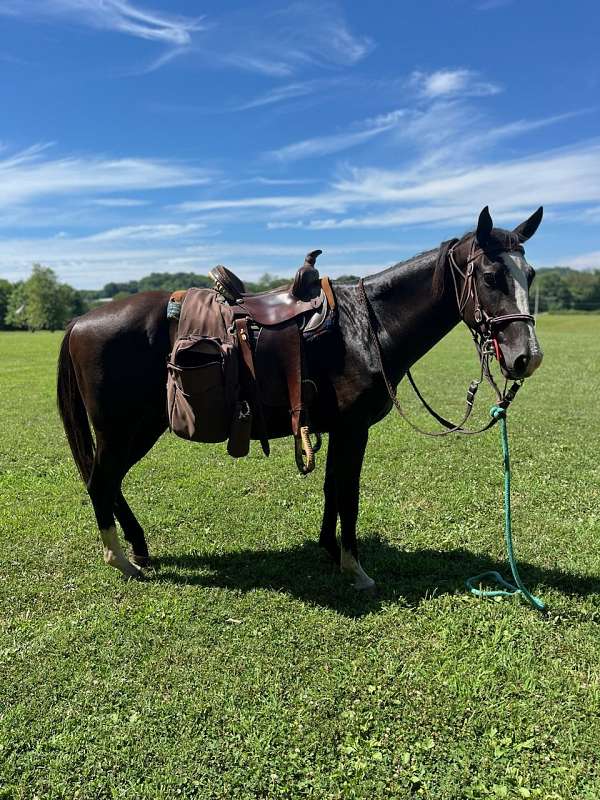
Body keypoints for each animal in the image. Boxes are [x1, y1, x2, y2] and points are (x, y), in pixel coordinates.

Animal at [56, 203, 544, 592]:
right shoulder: (353, 430)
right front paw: (355, 568)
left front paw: (330, 550)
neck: (368, 326)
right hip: (123, 428)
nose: (527, 357)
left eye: (531, 275)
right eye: (490, 276)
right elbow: (348, 493)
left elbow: (332, 488)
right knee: (100, 482)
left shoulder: (338, 429)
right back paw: (121, 560)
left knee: (110, 483)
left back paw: (138, 549)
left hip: (138, 427)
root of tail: (79, 321)